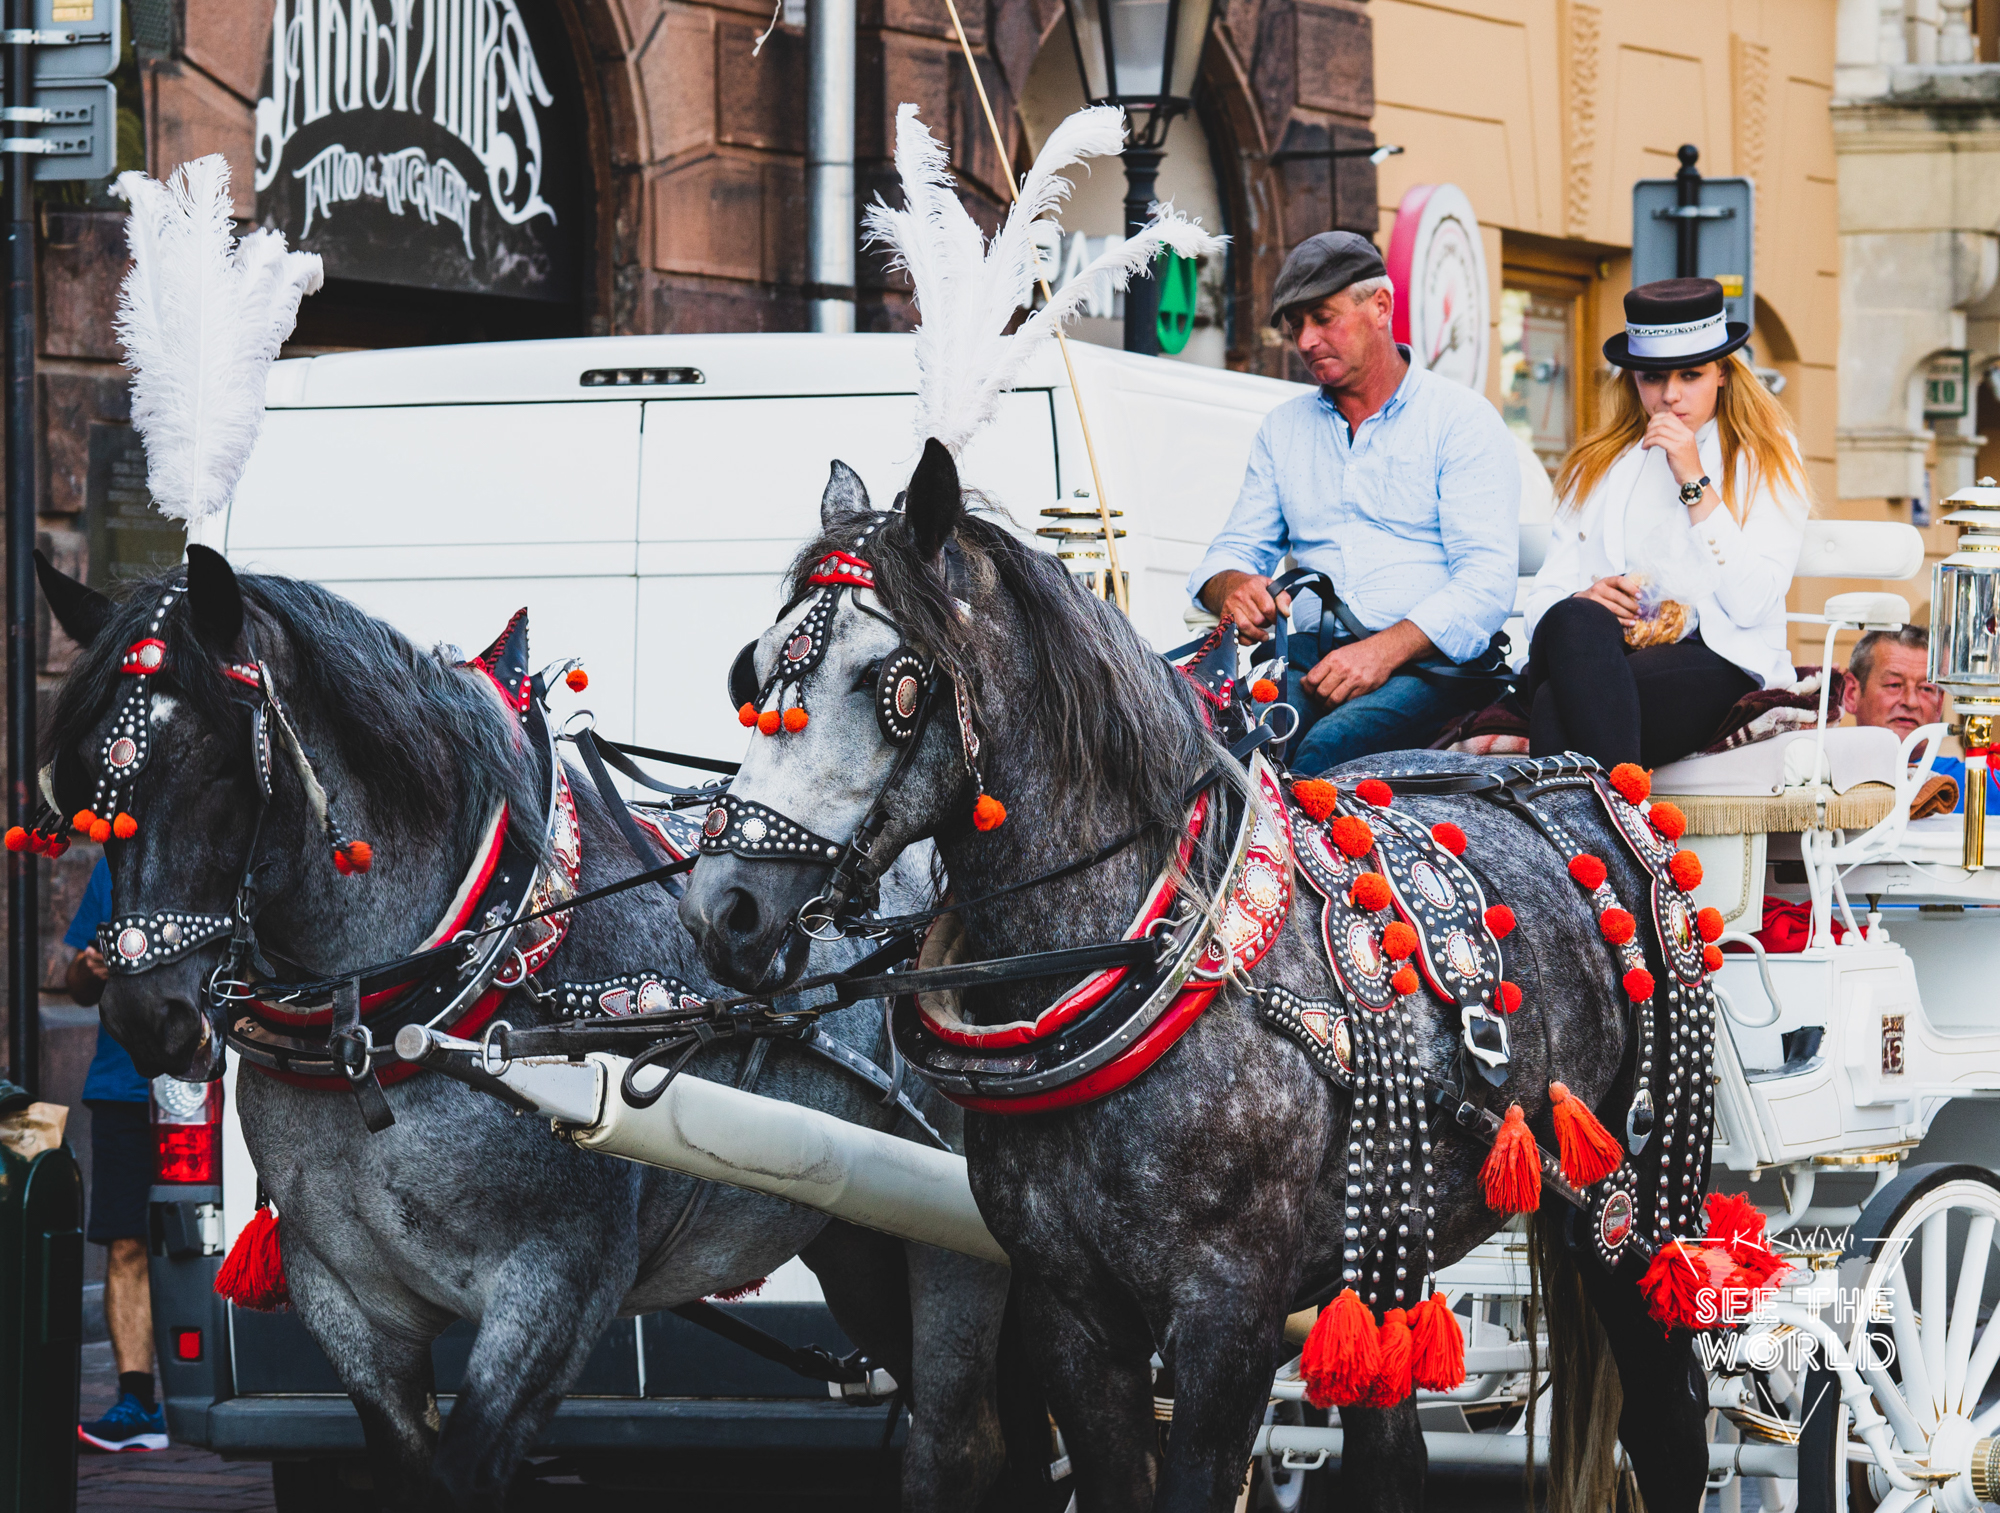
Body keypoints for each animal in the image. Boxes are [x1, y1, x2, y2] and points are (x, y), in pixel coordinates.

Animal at [39, 548, 1016, 1513]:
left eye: (219, 765)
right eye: (83, 783)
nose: (146, 1016)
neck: (404, 1025)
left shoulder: (557, 1286)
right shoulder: (347, 1304)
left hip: (957, 1247)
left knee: (955, 1441)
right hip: (856, 1234)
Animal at [680, 448, 1712, 1513]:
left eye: (887, 681)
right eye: (754, 670)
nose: (726, 907)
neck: (1141, 964)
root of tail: (1582, 775)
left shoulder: (1227, 1321)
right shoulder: (1070, 1314)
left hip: (1635, 1202)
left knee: (1670, 1426)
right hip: (1393, 1237)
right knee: (1392, 1452)